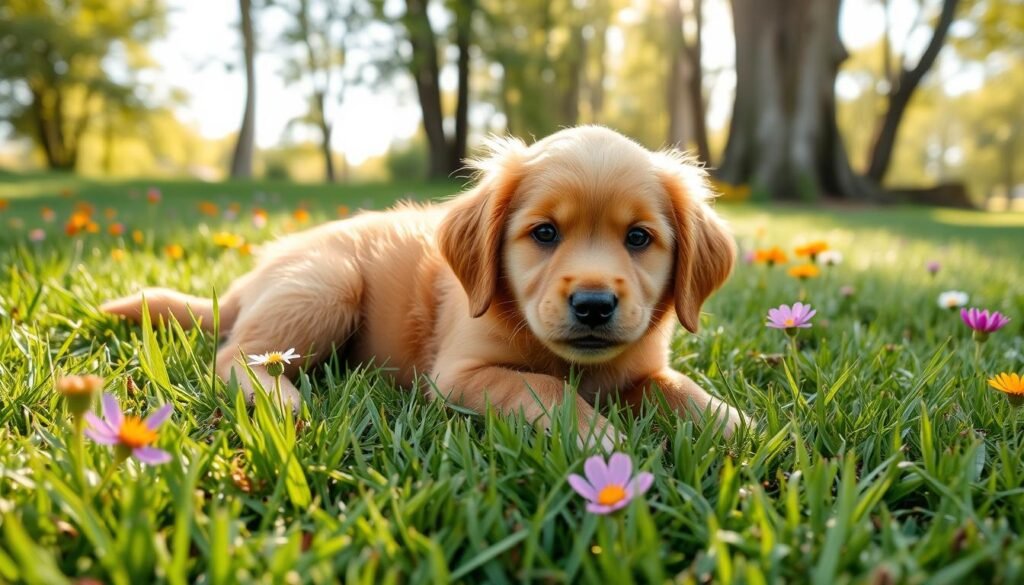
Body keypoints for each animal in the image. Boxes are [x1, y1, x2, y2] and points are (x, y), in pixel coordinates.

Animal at [101, 127, 745, 448]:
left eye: (639, 238)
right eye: (544, 233)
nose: (593, 305)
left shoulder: (642, 369)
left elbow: (678, 388)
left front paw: (734, 423)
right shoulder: (459, 374)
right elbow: (541, 388)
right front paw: (599, 440)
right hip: (327, 284)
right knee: (235, 354)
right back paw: (279, 397)